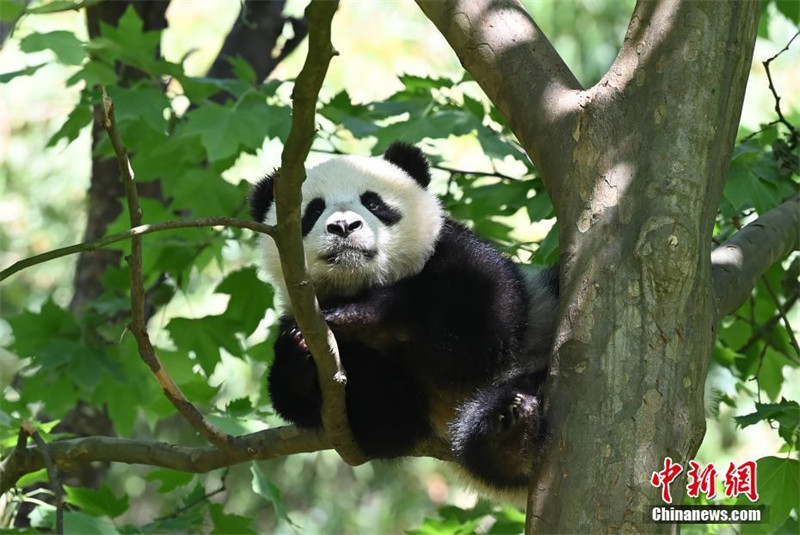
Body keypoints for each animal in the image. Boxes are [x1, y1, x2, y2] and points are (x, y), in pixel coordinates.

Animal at [248, 141, 556, 498]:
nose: (343, 227)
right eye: (312, 211)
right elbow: (383, 420)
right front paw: (297, 355)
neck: (360, 282)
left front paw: (354, 315)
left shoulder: (458, 255)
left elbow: (482, 323)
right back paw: (509, 436)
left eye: (373, 202)